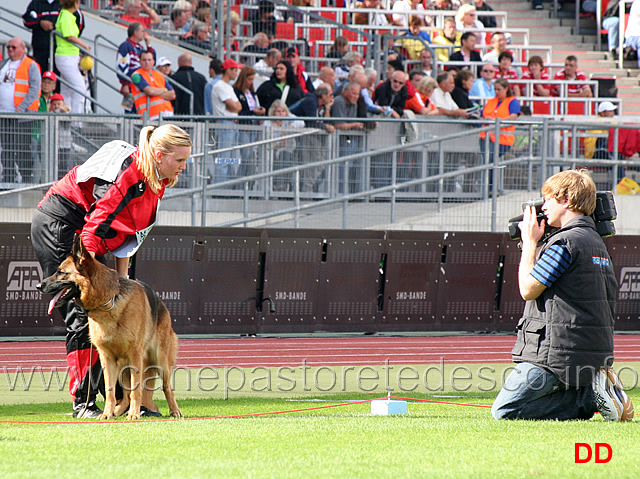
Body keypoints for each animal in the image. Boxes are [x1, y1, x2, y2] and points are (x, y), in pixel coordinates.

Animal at [38, 236, 181, 420]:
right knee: (125, 396)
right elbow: (110, 390)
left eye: (61, 272)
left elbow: (137, 389)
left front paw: (134, 414)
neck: (108, 300)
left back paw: (173, 410)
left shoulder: (135, 356)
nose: (38, 286)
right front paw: (107, 413)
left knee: (166, 387)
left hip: (160, 360)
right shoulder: (107, 358)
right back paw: (117, 412)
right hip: (122, 368)